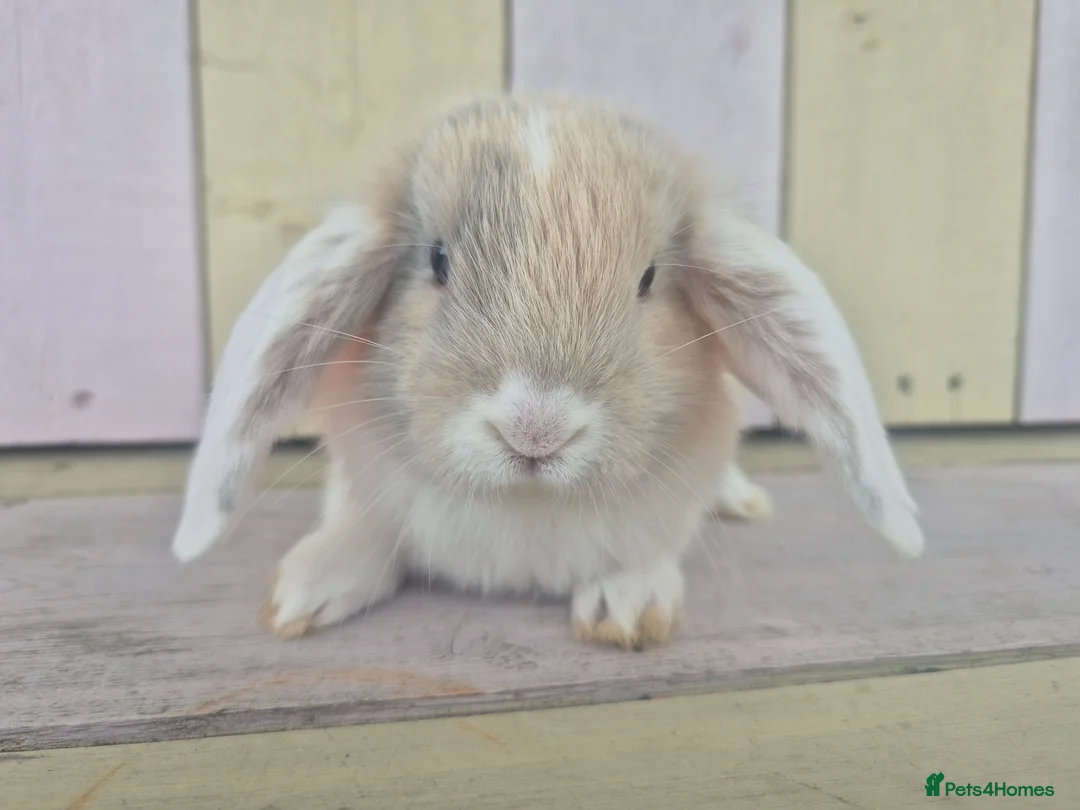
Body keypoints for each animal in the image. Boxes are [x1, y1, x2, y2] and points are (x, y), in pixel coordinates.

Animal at [171, 95, 924, 650]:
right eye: (438, 261)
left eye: (648, 279)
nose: (535, 430)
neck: (523, 507)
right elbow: (366, 537)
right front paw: (305, 589)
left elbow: (640, 560)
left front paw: (629, 606)